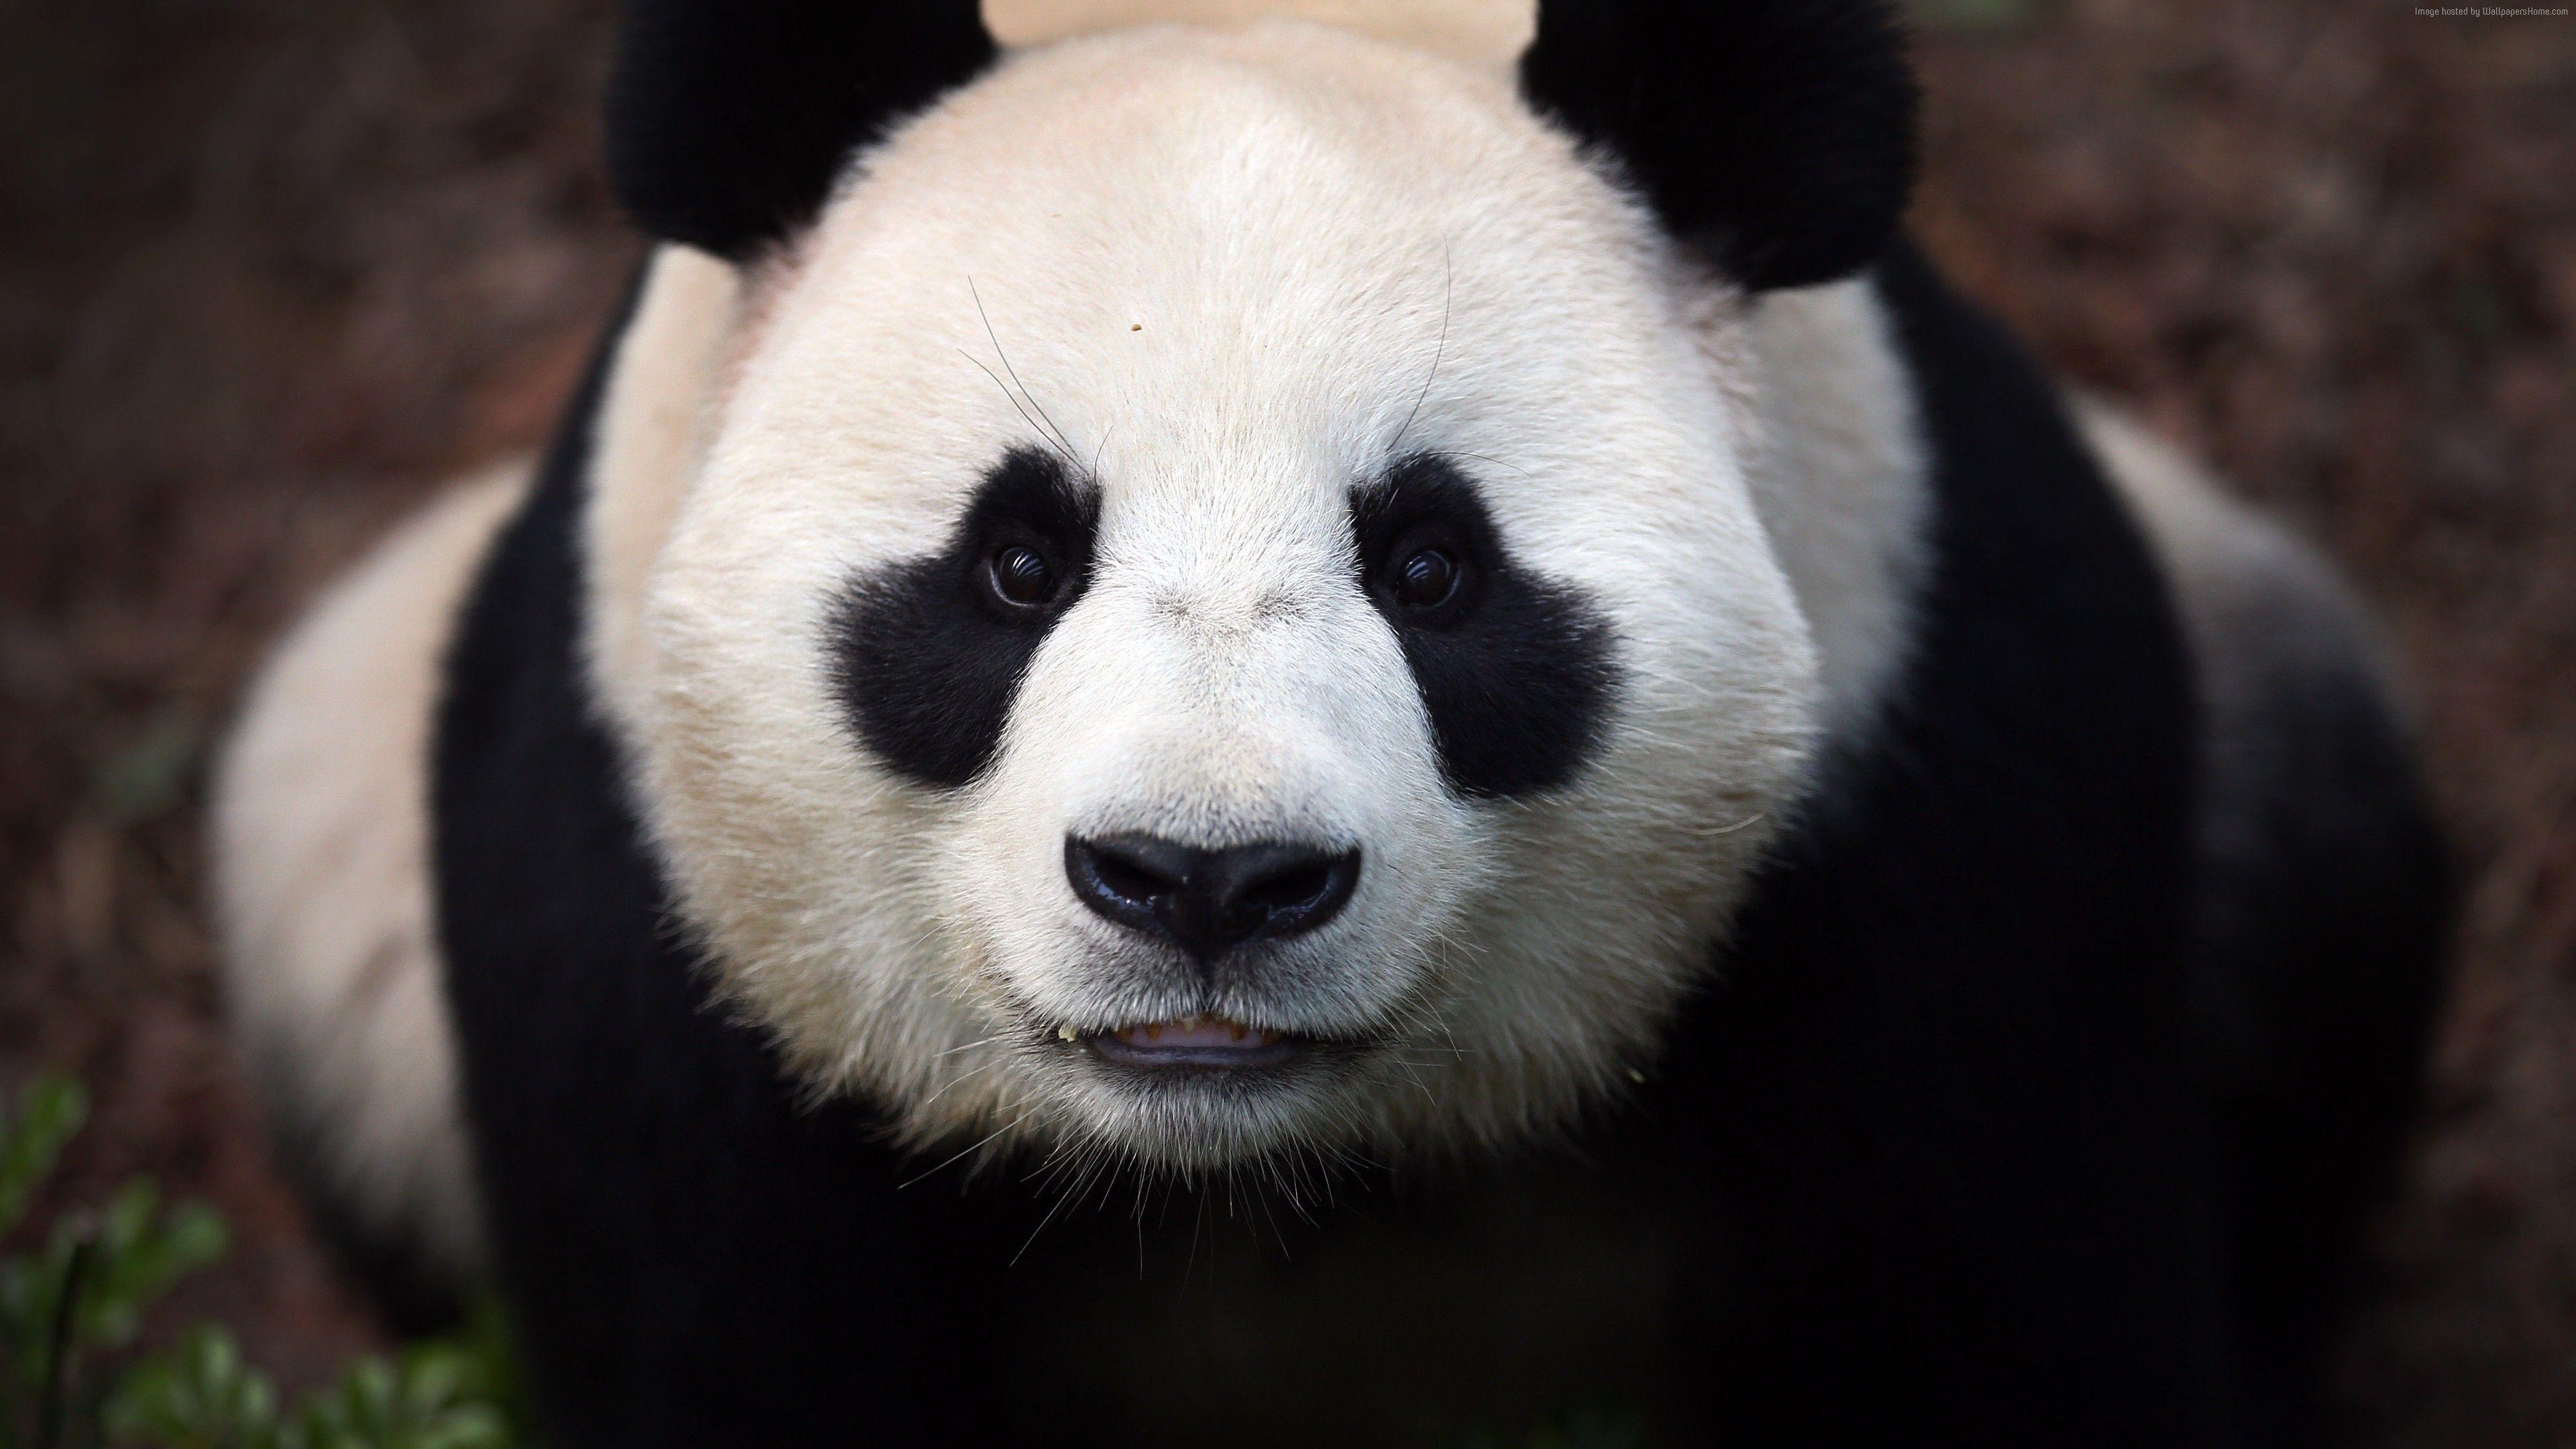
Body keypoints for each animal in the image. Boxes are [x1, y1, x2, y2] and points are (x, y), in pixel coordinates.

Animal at [209, 0, 2447, 1443]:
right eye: (1015, 563)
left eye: (1434, 567)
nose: (1205, 881)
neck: (1266, 1169)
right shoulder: (636, 925)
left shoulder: (1933, 795)